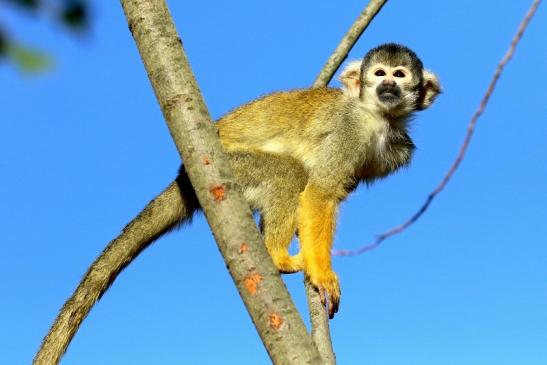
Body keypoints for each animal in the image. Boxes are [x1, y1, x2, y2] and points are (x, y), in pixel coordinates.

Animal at [35, 43, 440, 364]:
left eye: (400, 75)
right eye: (379, 74)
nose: (387, 86)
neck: (378, 118)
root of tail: (183, 176)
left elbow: (331, 193)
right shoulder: (349, 130)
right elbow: (320, 192)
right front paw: (321, 272)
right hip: (232, 167)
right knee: (289, 173)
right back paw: (278, 256)